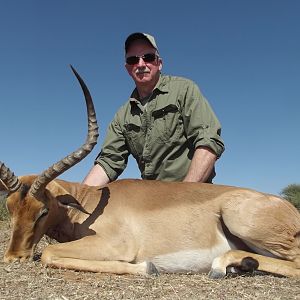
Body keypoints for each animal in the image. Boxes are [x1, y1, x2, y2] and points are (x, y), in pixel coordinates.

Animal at [0, 67, 300, 278]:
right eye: (10, 208)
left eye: (43, 211)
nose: (13, 258)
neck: (88, 203)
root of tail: (288, 208)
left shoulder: (116, 246)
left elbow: (48, 253)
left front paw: (148, 268)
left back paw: (221, 265)